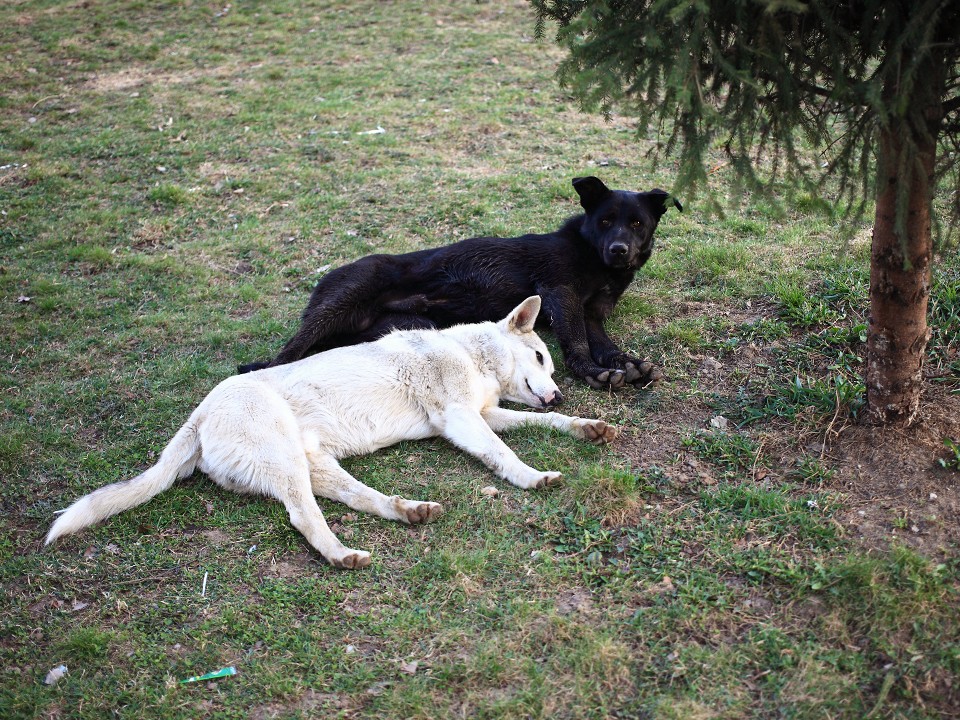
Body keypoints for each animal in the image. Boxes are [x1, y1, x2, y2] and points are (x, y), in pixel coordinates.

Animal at [45, 296, 616, 568]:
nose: (559, 393)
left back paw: (408, 510)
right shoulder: (462, 420)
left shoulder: (485, 415)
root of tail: (198, 416)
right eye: (540, 356)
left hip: (314, 465)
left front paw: (585, 425)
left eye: (550, 366)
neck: (469, 354)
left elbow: (544, 424)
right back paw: (342, 555)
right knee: (304, 517)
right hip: (287, 460)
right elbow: (504, 455)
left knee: (359, 499)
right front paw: (532, 477)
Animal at [238, 176, 684, 388]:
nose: (620, 250)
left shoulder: (592, 313)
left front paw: (626, 363)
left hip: (400, 329)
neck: (593, 257)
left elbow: (604, 343)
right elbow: (576, 343)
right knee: (284, 357)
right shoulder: (560, 294)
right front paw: (592, 372)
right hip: (340, 302)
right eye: (606, 221)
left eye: (637, 224)